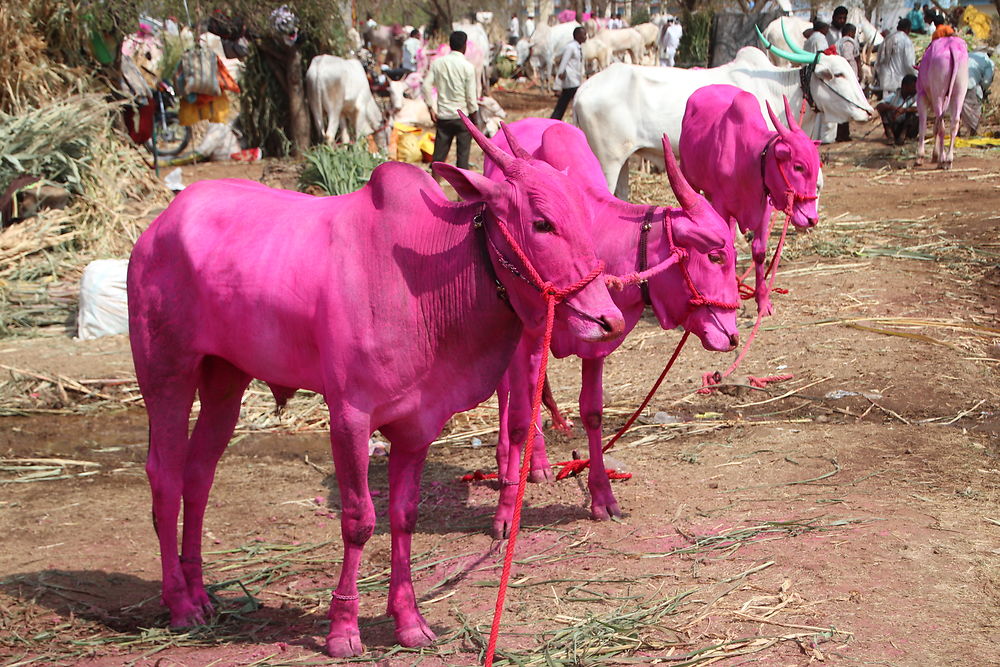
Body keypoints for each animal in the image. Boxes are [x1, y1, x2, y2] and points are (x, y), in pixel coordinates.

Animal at [128, 115, 620, 656]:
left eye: (583, 218)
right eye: (542, 223)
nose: (608, 320)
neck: (426, 278)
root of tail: (159, 225)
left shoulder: (418, 423)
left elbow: (403, 516)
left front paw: (409, 620)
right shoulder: (349, 416)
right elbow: (359, 520)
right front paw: (343, 629)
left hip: (225, 379)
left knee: (198, 475)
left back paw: (200, 592)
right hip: (166, 374)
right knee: (164, 476)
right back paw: (181, 603)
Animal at [484, 118, 744, 536]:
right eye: (717, 255)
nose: (731, 336)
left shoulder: (598, 344)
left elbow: (592, 413)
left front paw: (602, 497)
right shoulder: (522, 332)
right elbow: (519, 416)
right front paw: (507, 510)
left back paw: (537, 463)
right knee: (510, 393)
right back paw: (514, 463)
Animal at [576, 44, 872, 194]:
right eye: (837, 74)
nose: (868, 111)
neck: (776, 92)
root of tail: (582, 91)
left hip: (622, 161)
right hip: (608, 162)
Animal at [680, 85, 820, 318]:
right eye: (798, 166)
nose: (811, 219)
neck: (750, 158)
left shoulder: (765, 205)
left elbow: (759, 252)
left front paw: (763, 300)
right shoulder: (722, 205)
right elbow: (728, 250)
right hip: (689, 178)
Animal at [916, 36, 968, 170]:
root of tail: (951, 45)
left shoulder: (921, 96)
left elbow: (923, 125)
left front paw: (921, 157)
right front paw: (936, 154)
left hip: (938, 93)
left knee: (941, 126)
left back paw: (941, 160)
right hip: (960, 90)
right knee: (953, 123)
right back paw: (948, 159)